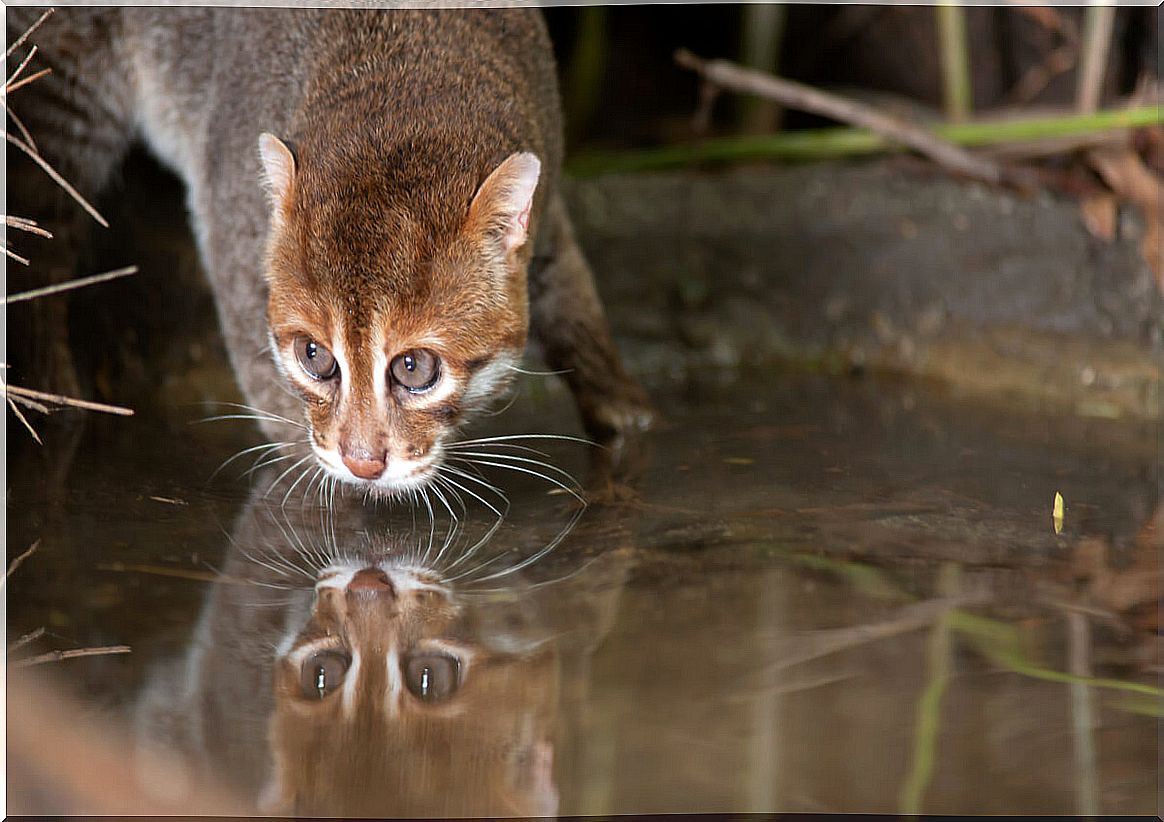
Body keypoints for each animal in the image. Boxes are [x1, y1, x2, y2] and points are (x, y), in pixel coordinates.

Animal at [4, 8, 651, 493]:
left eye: (414, 367)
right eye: (314, 356)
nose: (362, 464)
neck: (401, 85)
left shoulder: (546, 212)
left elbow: (576, 302)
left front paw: (626, 414)